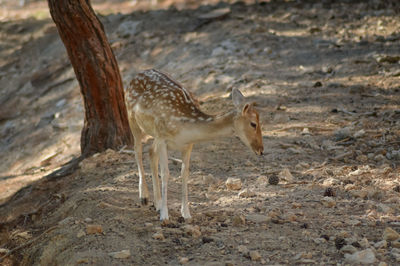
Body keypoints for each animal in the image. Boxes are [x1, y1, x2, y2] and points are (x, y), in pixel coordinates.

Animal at [123, 68, 264, 220]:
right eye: (253, 124)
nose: (261, 150)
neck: (184, 127)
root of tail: (137, 74)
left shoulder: (188, 144)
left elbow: (185, 173)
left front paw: (186, 214)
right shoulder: (162, 137)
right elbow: (165, 173)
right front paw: (165, 216)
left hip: (153, 135)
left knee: (150, 152)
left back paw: (157, 203)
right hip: (133, 120)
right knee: (137, 151)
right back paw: (144, 197)